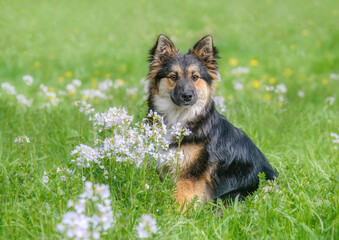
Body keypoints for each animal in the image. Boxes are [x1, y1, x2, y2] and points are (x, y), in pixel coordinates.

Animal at [147, 34, 278, 209]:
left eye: (195, 77)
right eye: (173, 77)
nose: (187, 96)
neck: (180, 118)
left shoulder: (188, 175)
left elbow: (180, 200)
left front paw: (175, 215)